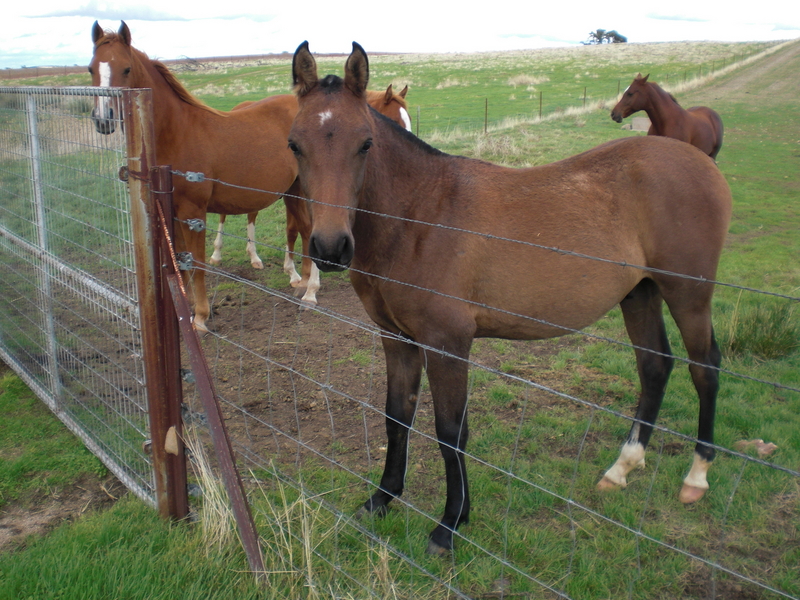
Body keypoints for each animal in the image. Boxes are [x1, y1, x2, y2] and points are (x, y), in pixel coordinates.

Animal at [88, 21, 311, 331]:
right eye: (91, 69)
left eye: (127, 69)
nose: (103, 119)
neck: (178, 132)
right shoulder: (172, 214)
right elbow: (181, 263)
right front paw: (188, 309)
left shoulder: (193, 213)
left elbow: (198, 263)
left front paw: (202, 317)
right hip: (290, 191)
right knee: (302, 230)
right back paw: (300, 282)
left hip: (302, 190)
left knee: (307, 230)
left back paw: (310, 291)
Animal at [210, 84, 411, 297]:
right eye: (395, 121)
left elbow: (292, 230)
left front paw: (295, 274)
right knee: (224, 215)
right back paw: (217, 254)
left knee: (251, 215)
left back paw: (254, 257)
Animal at [289, 41, 732, 554]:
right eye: (294, 144)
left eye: (365, 143)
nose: (330, 248)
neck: (420, 214)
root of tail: (702, 163)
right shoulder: (397, 339)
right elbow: (396, 418)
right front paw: (382, 499)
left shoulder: (448, 343)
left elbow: (450, 431)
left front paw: (450, 523)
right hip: (639, 293)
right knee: (655, 365)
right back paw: (622, 467)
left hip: (688, 293)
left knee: (705, 368)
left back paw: (697, 476)